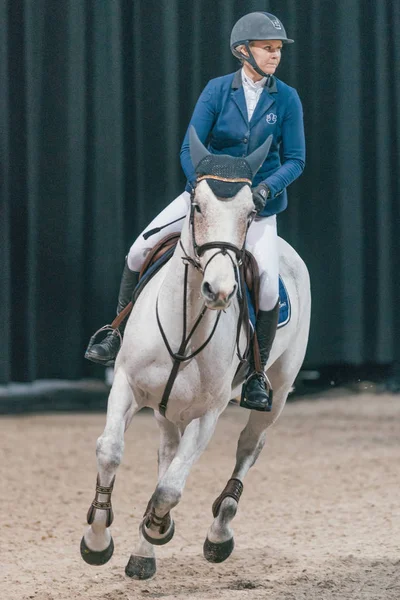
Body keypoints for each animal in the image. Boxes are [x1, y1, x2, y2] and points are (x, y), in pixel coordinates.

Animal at [79, 129, 310, 580]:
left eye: (250, 214)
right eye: (198, 205)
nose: (218, 291)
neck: (184, 325)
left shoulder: (209, 414)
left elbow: (169, 488)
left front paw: (158, 525)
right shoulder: (127, 387)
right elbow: (111, 450)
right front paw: (97, 541)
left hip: (278, 390)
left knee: (248, 448)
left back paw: (217, 535)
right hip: (167, 408)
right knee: (168, 453)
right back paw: (142, 556)